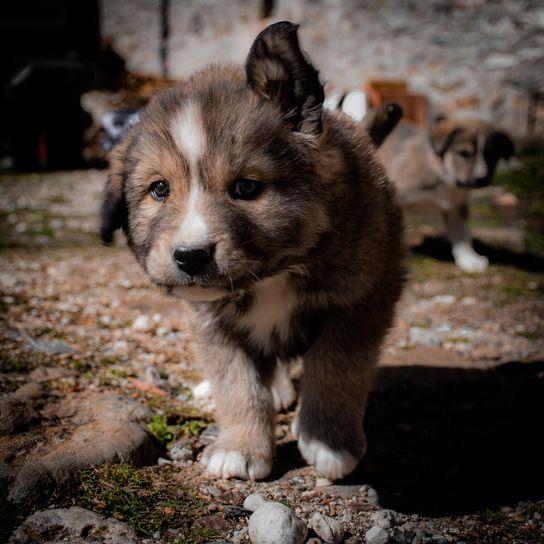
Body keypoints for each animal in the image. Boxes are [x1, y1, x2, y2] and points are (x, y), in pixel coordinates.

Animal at [103, 21, 408, 480]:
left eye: (246, 187)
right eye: (159, 189)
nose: (190, 256)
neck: (273, 276)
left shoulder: (363, 300)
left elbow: (337, 366)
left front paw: (328, 441)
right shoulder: (213, 324)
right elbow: (237, 383)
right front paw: (241, 446)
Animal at [378, 119, 516, 272]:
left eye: (491, 154)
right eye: (464, 153)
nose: (481, 178)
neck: (444, 178)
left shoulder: (456, 207)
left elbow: (462, 234)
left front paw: (469, 259)